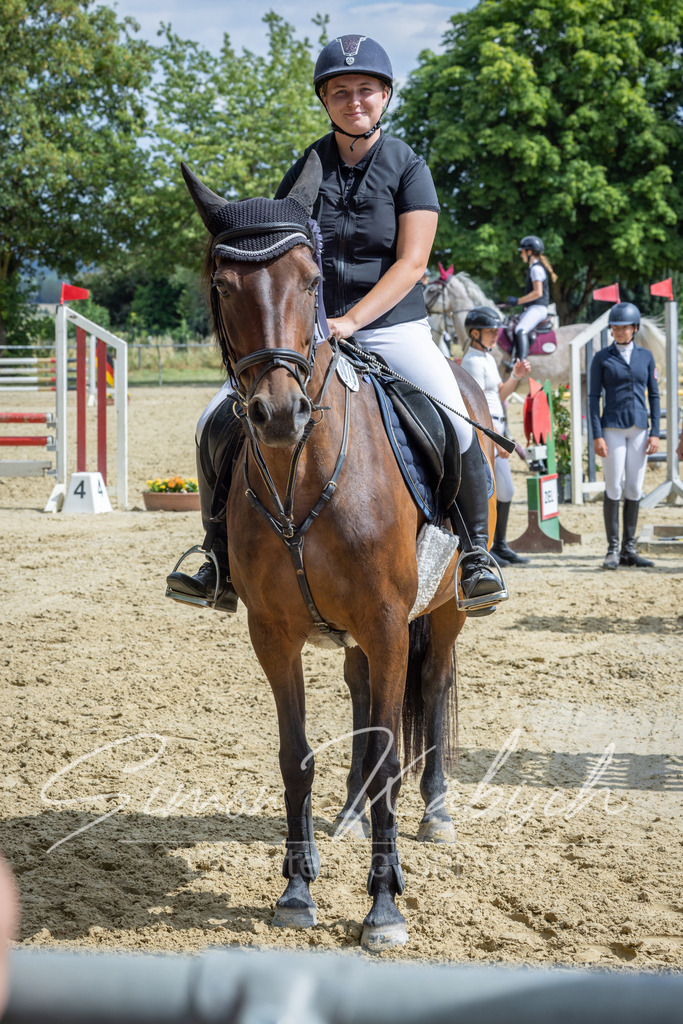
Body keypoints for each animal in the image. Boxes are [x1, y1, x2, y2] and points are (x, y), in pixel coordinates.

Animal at [181, 153, 498, 951]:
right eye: (223, 286)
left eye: (308, 280)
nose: (278, 414)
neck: (303, 474)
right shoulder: (274, 632)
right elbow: (296, 757)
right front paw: (296, 890)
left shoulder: (389, 623)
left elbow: (390, 750)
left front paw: (383, 907)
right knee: (360, 695)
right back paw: (351, 815)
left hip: (442, 611)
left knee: (433, 687)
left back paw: (434, 813)